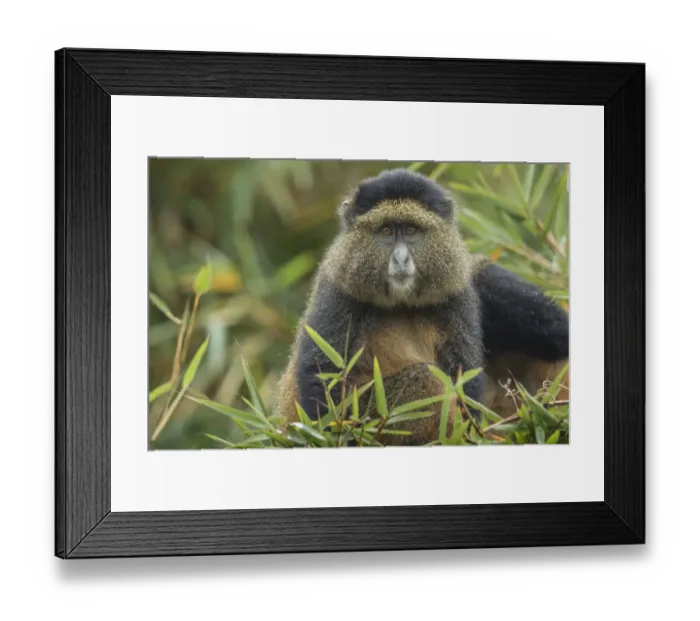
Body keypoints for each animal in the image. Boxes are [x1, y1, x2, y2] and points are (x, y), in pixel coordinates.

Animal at [274, 168, 569, 446]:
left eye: (411, 231)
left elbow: (465, 375)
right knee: (421, 378)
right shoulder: (338, 289)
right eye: (387, 231)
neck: (402, 304)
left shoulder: (456, 294)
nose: (401, 258)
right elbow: (322, 375)